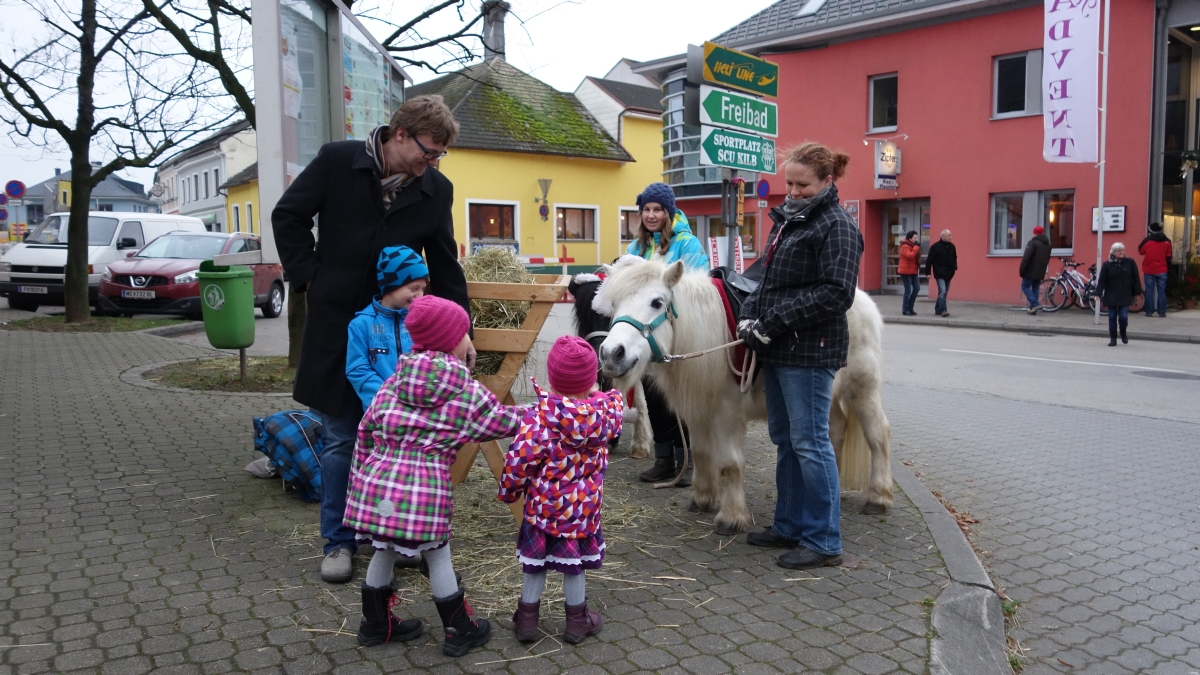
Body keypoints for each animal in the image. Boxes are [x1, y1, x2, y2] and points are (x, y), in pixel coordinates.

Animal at [588, 257, 893, 536]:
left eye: (657, 302)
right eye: (614, 305)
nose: (612, 354)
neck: (709, 336)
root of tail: (864, 300)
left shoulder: (727, 414)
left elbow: (729, 463)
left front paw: (731, 517)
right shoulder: (697, 411)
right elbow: (701, 452)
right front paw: (702, 498)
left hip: (863, 390)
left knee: (878, 435)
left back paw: (878, 496)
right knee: (834, 433)